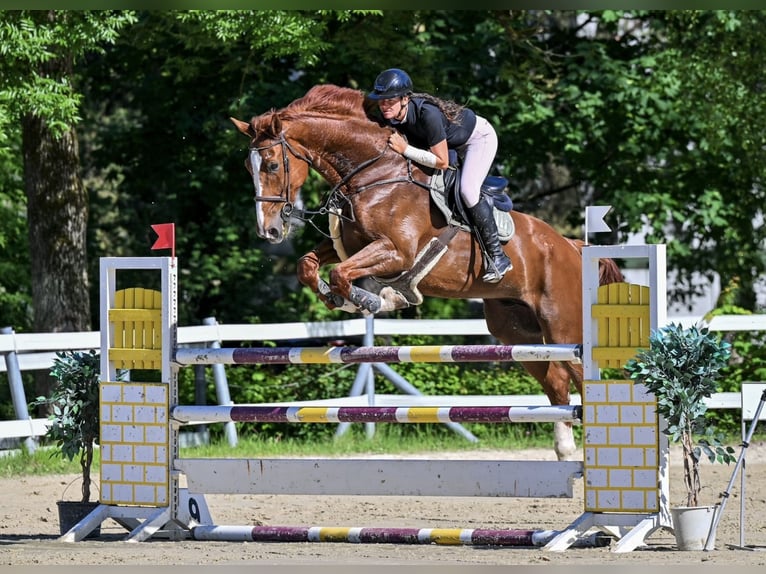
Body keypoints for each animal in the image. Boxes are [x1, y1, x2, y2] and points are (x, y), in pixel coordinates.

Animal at [231, 84, 623, 461]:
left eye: (271, 166)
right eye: (248, 169)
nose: (269, 232)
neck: (375, 174)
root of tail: (571, 245)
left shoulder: (396, 252)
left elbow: (344, 274)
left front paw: (370, 300)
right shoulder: (352, 246)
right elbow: (308, 265)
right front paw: (339, 298)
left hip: (563, 327)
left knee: (581, 380)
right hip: (517, 330)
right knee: (556, 380)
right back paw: (565, 450)